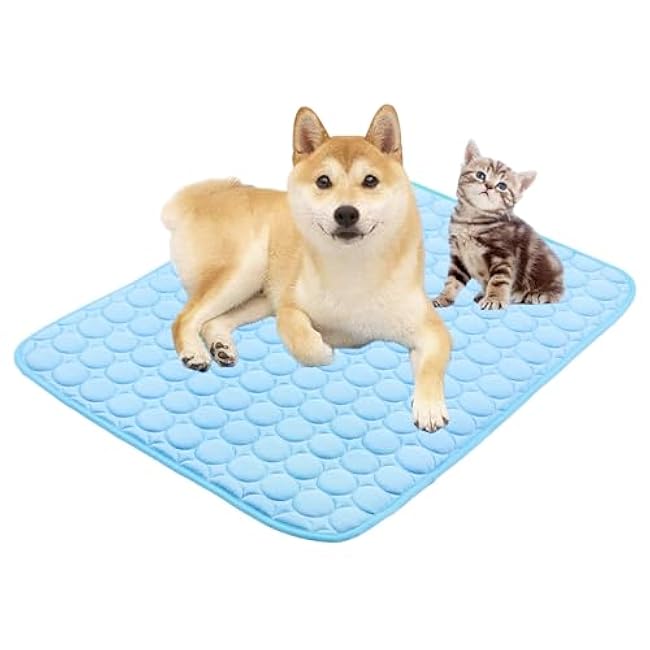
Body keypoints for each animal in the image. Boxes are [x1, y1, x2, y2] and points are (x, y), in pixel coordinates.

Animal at [162, 105, 451, 431]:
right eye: (323, 181)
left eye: (370, 181)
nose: (346, 212)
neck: (353, 270)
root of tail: (201, 200)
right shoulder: (289, 305)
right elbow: (299, 335)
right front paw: (322, 349)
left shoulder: (429, 329)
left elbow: (431, 367)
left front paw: (429, 407)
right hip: (244, 271)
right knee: (185, 318)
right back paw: (193, 352)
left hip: (258, 296)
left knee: (213, 321)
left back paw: (221, 347)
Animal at [432, 141, 564, 310]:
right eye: (481, 175)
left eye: (502, 186)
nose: (488, 186)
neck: (471, 220)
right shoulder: (458, 257)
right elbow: (452, 281)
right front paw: (443, 298)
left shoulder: (502, 255)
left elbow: (498, 280)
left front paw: (494, 299)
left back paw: (537, 294)